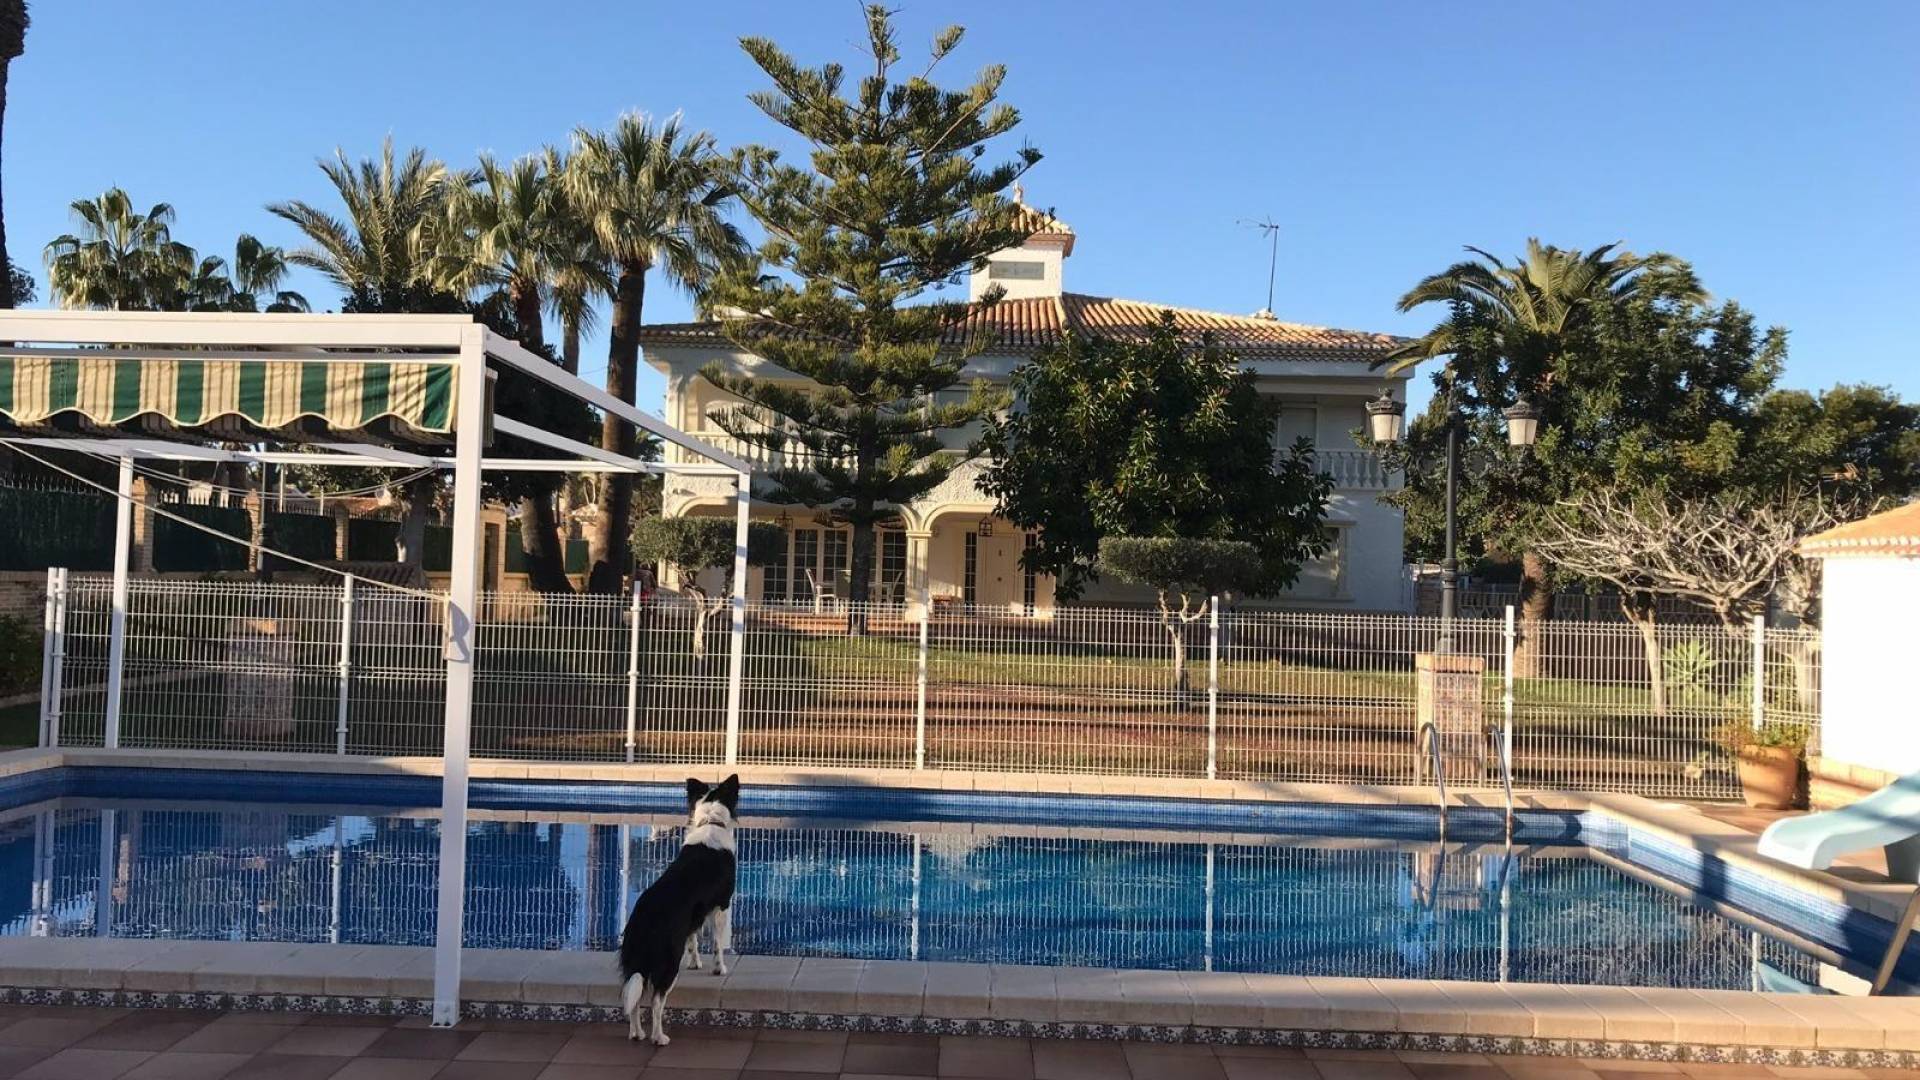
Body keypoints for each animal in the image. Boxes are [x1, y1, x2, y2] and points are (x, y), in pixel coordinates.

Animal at [619, 775, 739, 1046]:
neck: (711, 820)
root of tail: (643, 920)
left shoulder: (694, 914)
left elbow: (693, 939)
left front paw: (695, 963)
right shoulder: (721, 905)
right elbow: (717, 942)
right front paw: (719, 968)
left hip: (637, 960)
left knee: (634, 997)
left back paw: (636, 1034)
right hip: (669, 960)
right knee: (656, 1001)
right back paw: (658, 1037)